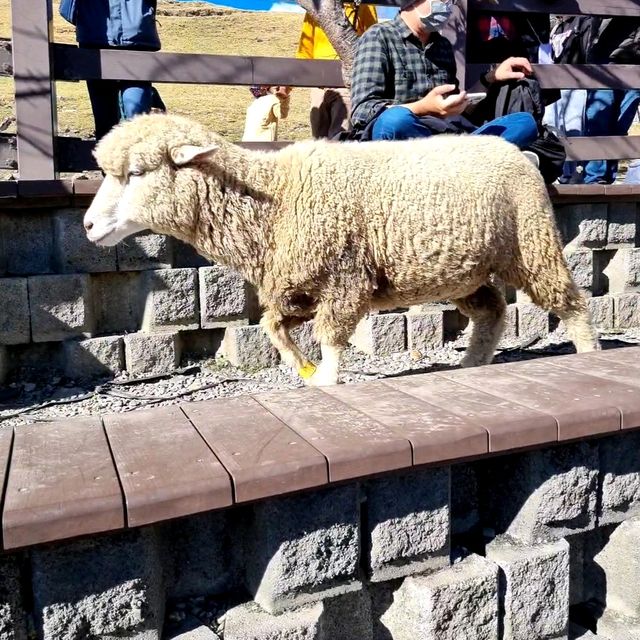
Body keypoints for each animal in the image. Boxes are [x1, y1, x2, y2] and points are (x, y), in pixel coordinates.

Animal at [82, 114, 596, 384]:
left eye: (136, 173)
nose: (87, 226)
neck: (275, 197)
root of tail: (521, 153)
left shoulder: (344, 279)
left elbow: (330, 336)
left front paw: (326, 379)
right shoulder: (297, 286)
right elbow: (272, 328)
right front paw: (302, 368)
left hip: (531, 243)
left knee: (570, 302)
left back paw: (588, 354)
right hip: (461, 270)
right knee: (491, 310)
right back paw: (470, 364)